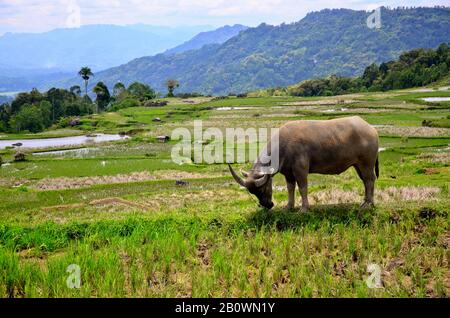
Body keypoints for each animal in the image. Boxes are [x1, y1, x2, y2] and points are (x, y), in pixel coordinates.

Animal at [229, 116, 380, 211]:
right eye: (252, 192)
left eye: (261, 189)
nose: (267, 205)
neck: (283, 146)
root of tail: (371, 129)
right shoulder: (288, 173)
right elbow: (290, 188)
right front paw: (289, 206)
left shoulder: (300, 170)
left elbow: (302, 188)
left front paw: (304, 208)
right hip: (358, 165)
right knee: (365, 181)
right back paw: (365, 201)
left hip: (367, 163)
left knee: (370, 180)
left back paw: (369, 204)